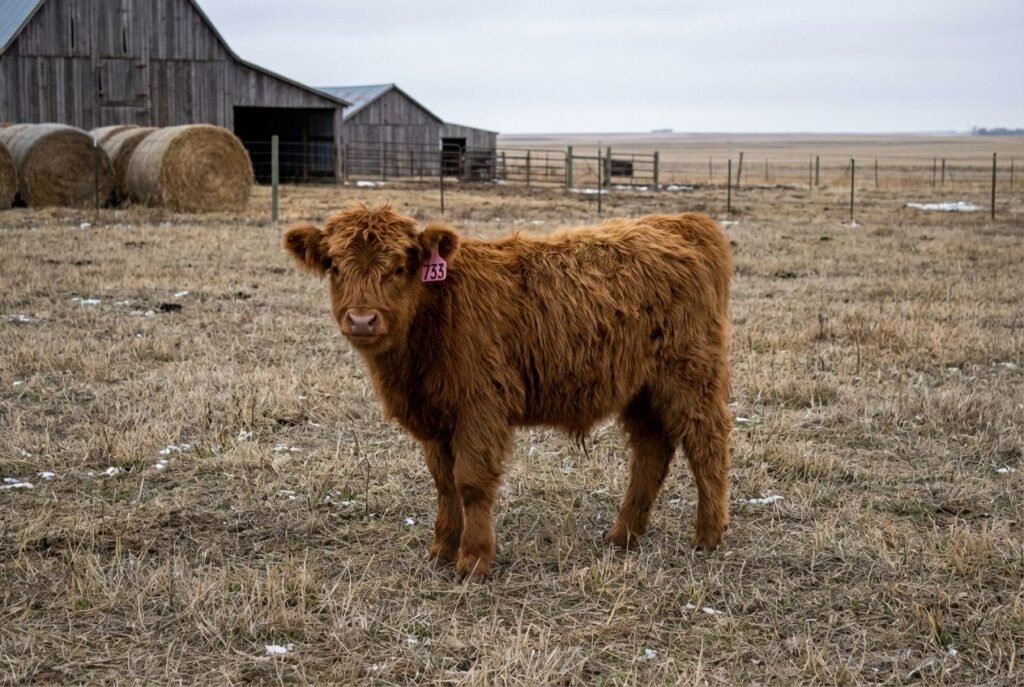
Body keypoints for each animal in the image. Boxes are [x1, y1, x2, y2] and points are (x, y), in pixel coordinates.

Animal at [283, 204, 732, 581]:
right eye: (334, 266)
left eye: (399, 267)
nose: (362, 319)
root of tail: (679, 222)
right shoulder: (436, 418)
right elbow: (444, 484)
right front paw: (441, 548)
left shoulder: (480, 407)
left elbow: (471, 482)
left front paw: (473, 560)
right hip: (642, 391)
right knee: (651, 453)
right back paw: (623, 535)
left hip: (690, 377)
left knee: (706, 446)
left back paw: (708, 536)